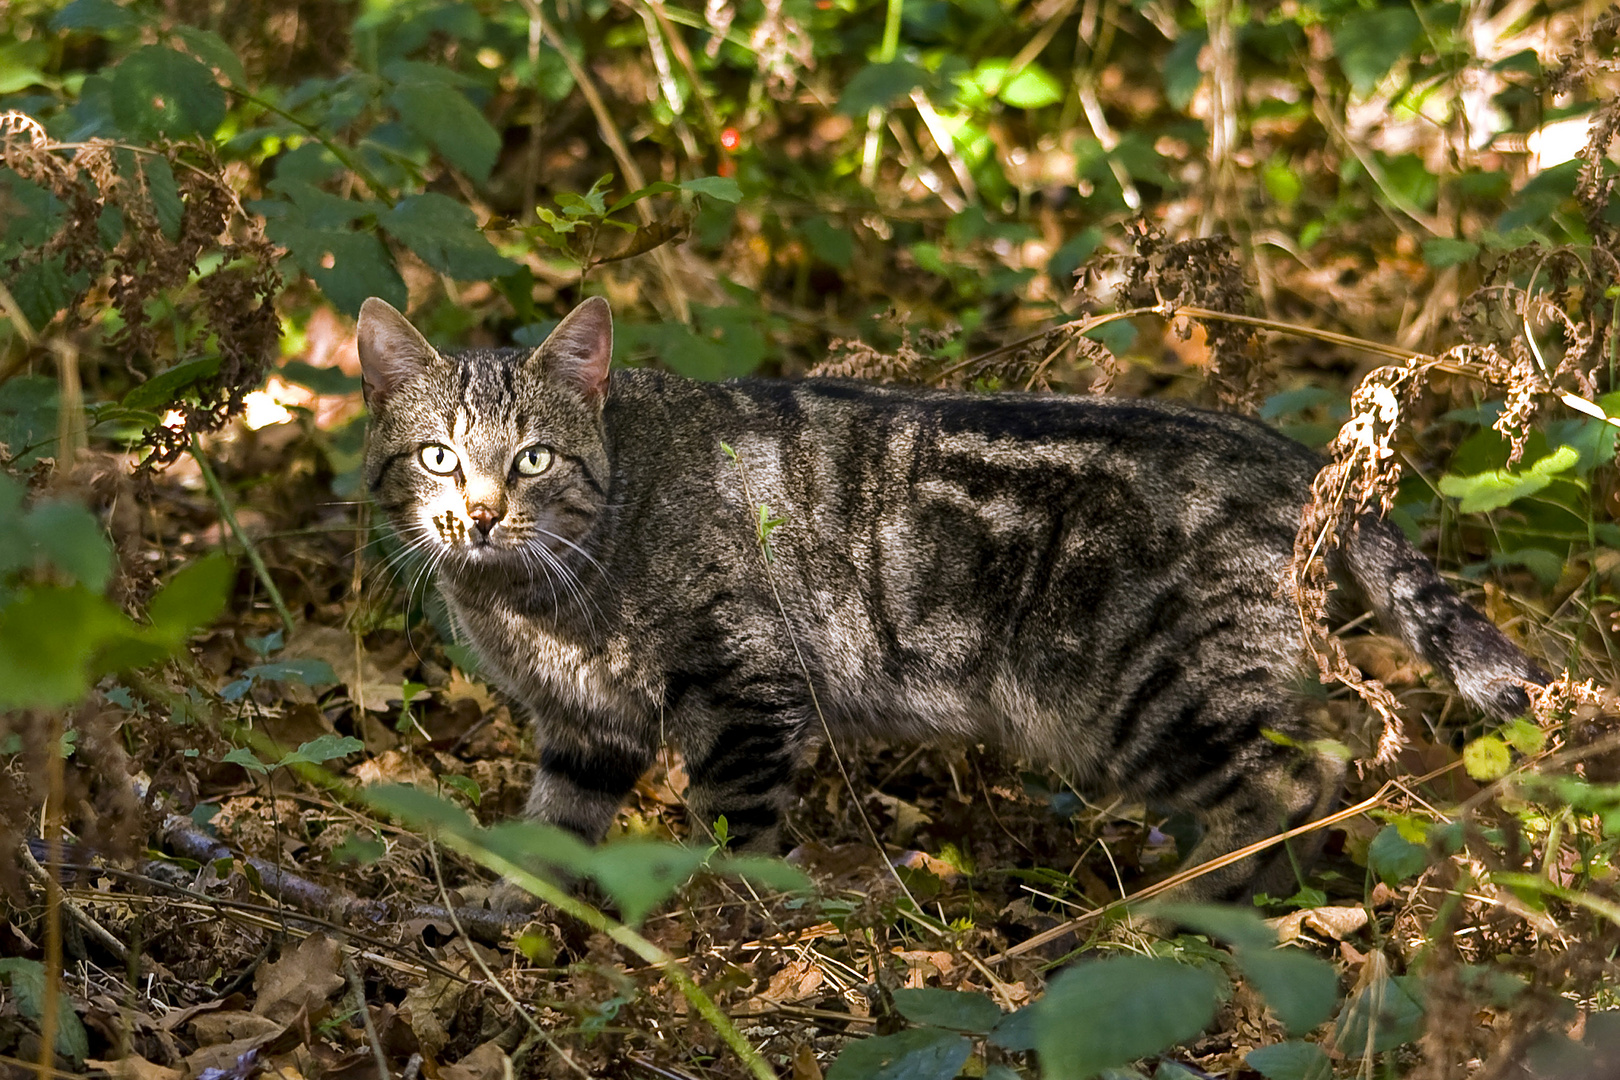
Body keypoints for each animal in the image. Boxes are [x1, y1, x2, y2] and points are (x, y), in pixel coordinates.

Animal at [361, 293, 1548, 906]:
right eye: (436, 458)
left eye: (532, 459)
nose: (477, 514)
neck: (534, 601)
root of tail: (1277, 446)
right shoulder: (584, 726)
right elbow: (551, 835)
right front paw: (512, 912)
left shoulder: (745, 685)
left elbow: (739, 830)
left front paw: (753, 929)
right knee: (1318, 763)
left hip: (1150, 696)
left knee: (1296, 778)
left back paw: (1161, 917)